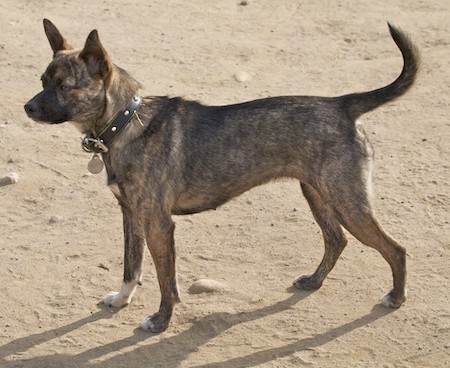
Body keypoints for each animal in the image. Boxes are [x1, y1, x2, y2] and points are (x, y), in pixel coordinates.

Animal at [24, 18, 418, 332]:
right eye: (42, 80)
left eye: (64, 86)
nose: (26, 107)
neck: (124, 123)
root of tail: (342, 104)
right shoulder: (131, 216)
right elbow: (131, 266)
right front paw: (122, 299)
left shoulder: (158, 224)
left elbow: (166, 281)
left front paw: (161, 321)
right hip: (318, 194)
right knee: (336, 240)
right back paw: (314, 280)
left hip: (347, 203)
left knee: (396, 249)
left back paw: (396, 297)